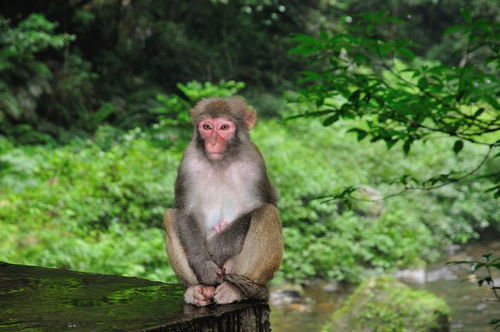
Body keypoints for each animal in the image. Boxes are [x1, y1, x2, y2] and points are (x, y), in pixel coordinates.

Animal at [162, 96, 284, 306]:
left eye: (224, 127)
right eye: (207, 127)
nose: (212, 142)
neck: (222, 161)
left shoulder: (255, 162)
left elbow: (258, 209)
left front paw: (216, 252)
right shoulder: (188, 161)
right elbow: (186, 212)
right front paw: (203, 264)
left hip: (235, 269)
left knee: (267, 213)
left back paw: (239, 290)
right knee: (171, 216)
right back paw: (197, 289)